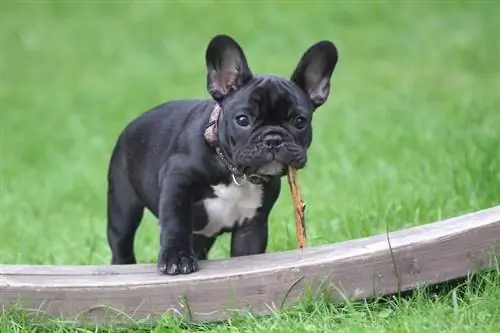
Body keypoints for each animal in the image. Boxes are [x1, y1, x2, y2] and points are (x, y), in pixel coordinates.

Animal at [107, 33, 338, 274]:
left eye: (300, 121)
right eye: (242, 119)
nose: (273, 139)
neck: (234, 171)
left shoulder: (251, 226)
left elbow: (248, 253)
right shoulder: (176, 180)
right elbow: (176, 221)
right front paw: (176, 257)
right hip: (123, 207)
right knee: (121, 242)